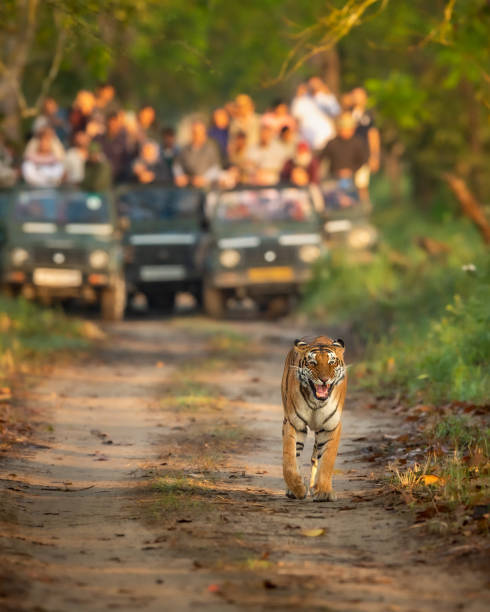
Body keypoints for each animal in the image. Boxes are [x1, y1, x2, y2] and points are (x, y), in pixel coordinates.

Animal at [282, 334, 346, 502]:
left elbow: (327, 459)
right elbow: (289, 459)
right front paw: (297, 488)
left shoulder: (331, 426)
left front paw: (323, 491)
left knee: (316, 457)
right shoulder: (294, 423)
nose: (324, 379)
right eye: (312, 363)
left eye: (331, 362)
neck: (316, 402)